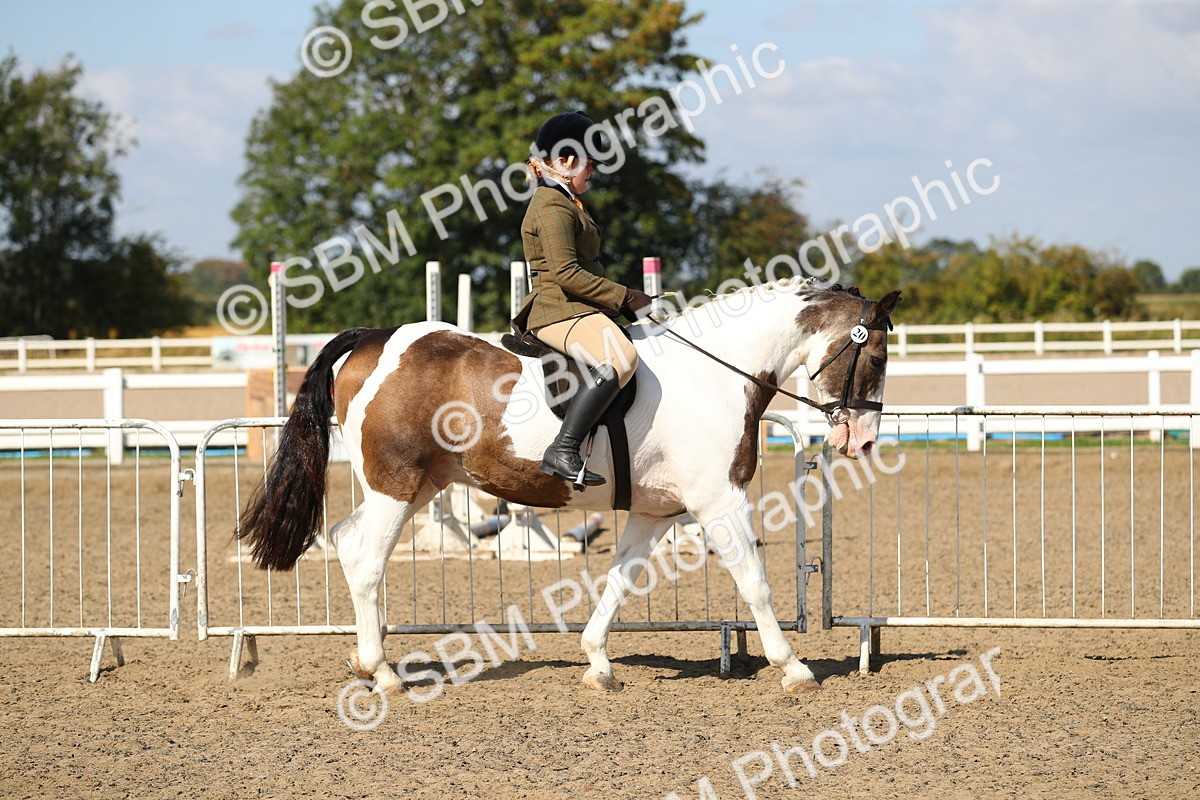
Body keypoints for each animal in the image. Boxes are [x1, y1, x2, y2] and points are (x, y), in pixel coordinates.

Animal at [237, 279, 900, 695]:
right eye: (876, 357)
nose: (864, 440)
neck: (715, 373)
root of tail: (374, 339)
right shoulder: (720, 501)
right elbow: (756, 584)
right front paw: (794, 669)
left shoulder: (654, 513)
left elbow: (620, 581)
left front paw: (598, 664)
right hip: (395, 485)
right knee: (366, 558)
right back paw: (382, 673)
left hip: (418, 485)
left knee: (348, 542)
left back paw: (364, 661)